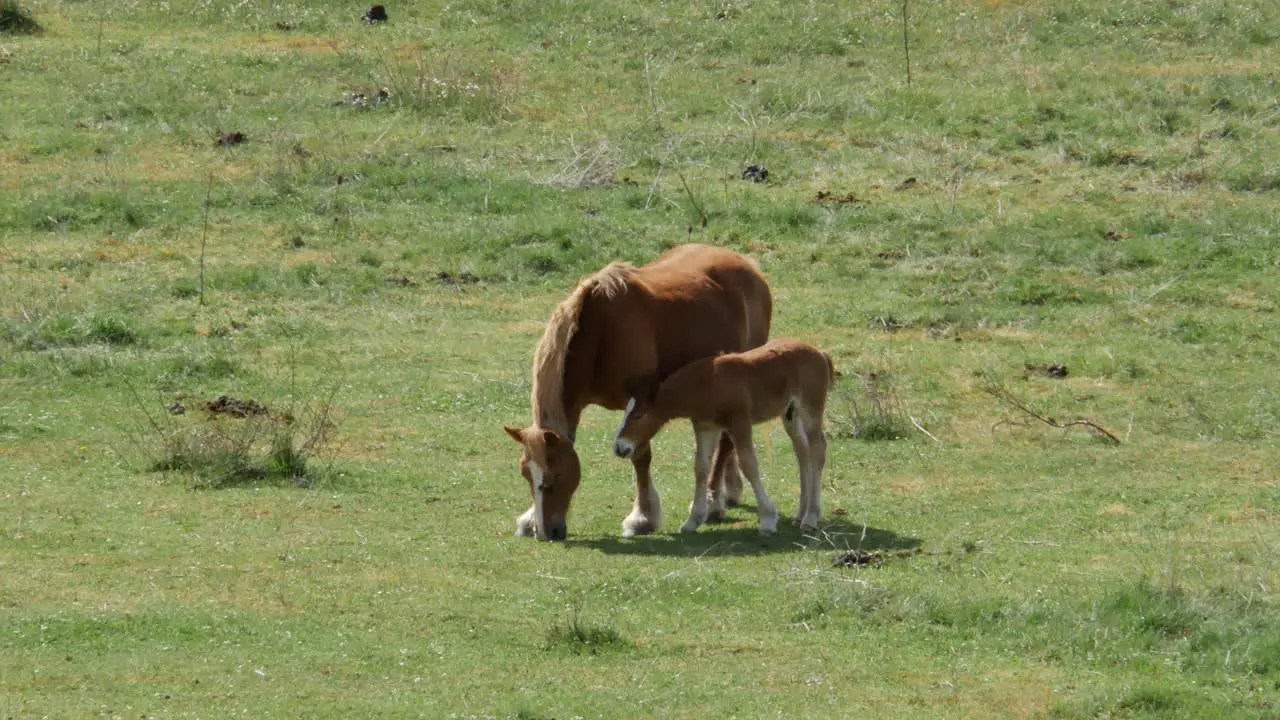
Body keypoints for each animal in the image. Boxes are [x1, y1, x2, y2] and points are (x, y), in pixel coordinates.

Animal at [504, 240, 773, 538]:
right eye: (526, 474)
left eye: (556, 477)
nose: (547, 532)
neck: (601, 331)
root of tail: (747, 265)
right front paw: (529, 519)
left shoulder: (639, 401)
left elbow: (640, 457)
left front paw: (642, 517)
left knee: (725, 444)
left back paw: (714, 502)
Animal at [611, 335, 834, 532]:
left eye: (639, 415)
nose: (619, 447)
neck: (708, 382)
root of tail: (820, 353)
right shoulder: (706, 428)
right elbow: (701, 467)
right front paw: (693, 520)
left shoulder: (740, 424)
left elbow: (749, 465)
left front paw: (768, 519)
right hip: (790, 415)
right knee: (802, 451)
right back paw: (801, 514)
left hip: (810, 409)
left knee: (817, 449)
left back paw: (811, 517)